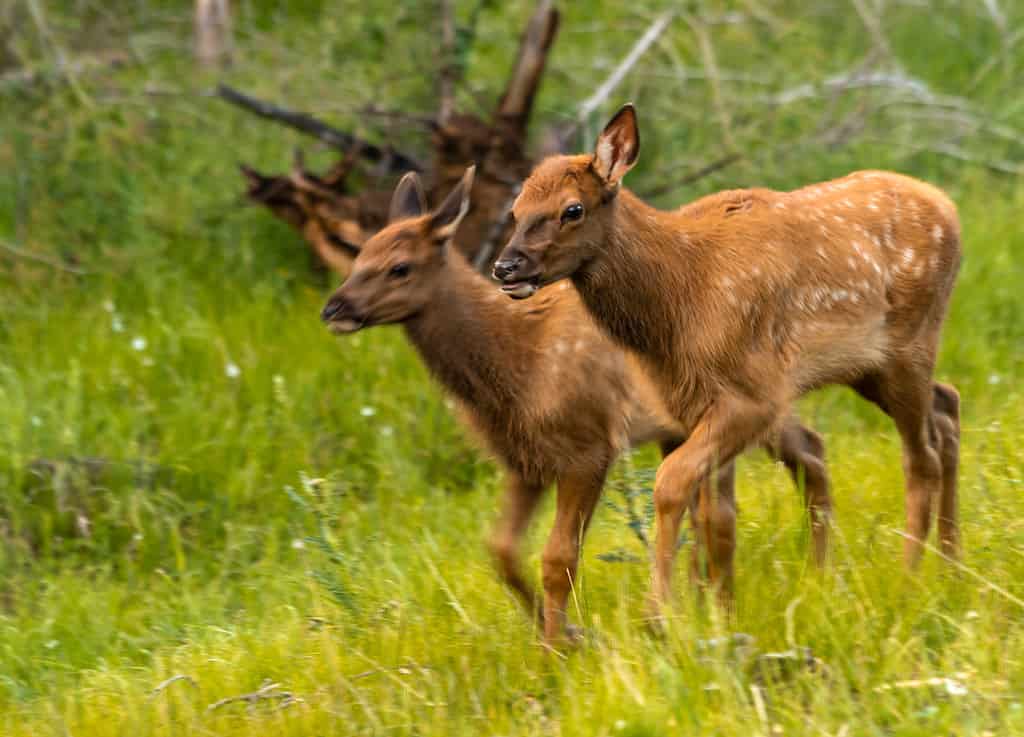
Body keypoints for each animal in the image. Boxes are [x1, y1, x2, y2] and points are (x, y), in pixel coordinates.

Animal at [323, 165, 835, 638]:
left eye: (399, 266)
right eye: (360, 255)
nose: (333, 309)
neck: (516, 362)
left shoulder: (587, 446)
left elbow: (559, 558)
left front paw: (561, 646)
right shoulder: (524, 460)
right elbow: (501, 551)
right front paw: (557, 632)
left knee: (801, 454)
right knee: (799, 453)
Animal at [495, 100, 958, 614]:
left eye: (572, 209)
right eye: (516, 209)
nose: (505, 267)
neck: (677, 303)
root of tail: (948, 206)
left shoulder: (754, 396)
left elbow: (671, 484)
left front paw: (660, 614)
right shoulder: (690, 405)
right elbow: (714, 516)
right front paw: (714, 614)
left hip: (909, 343)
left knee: (921, 457)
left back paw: (910, 580)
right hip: (871, 367)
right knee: (947, 406)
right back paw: (951, 567)